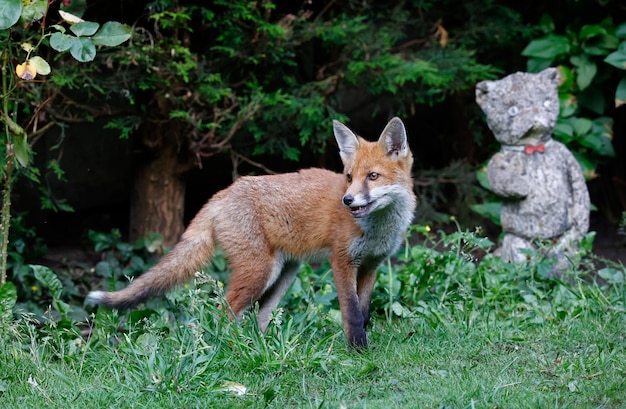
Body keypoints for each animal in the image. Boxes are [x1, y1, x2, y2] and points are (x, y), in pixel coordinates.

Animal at [85, 117, 412, 348]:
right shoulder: (342, 262)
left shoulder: (371, 266)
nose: (347, 200)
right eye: (348, 177)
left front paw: (363, 345)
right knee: (223, 312)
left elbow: (365, 312)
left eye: (372, 176)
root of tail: (223, 193)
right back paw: (232, 349)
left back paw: (261, 348)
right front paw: (358, 351)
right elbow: (353, 314)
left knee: (258, 317)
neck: (378, 229)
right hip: (259, 271)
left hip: (283, 274)